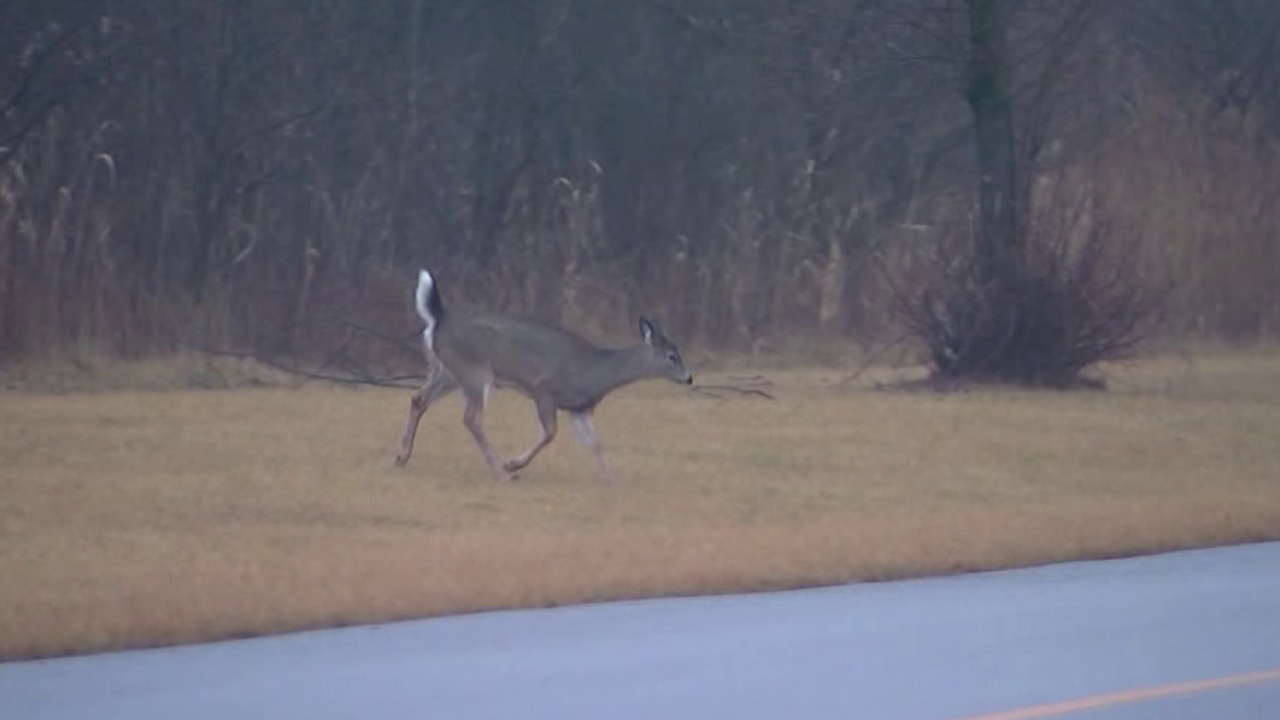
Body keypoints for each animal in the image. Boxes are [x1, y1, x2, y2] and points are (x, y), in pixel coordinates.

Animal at [393, 268, 693, 483]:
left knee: (418, 399)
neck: (594, 372)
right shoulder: (544, 389)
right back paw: (501, 471)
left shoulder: (581, 408)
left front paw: (611, 479)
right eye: (671, 356)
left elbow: (595, 442)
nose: (689, 377)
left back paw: (401, 456)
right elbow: (550, 433)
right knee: (471, 418)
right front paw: (513, 463)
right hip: (474, 371)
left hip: (447, 371)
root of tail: (438, 319)